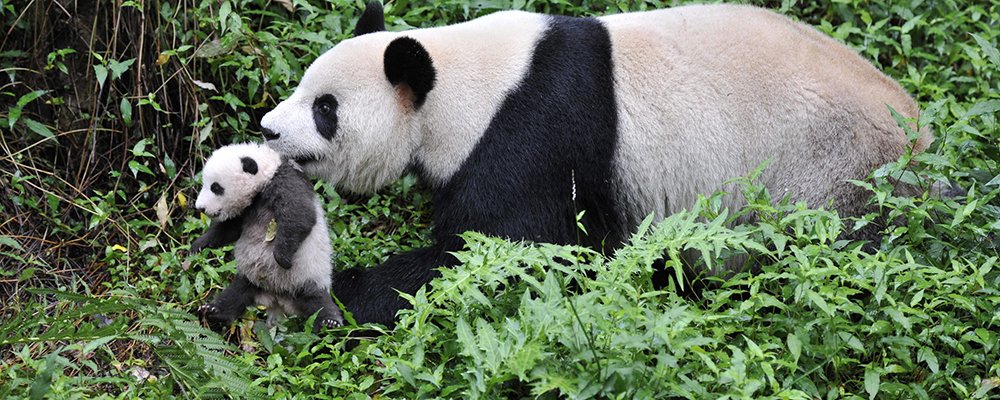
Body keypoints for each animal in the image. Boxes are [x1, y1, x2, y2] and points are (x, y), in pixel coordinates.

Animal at [191, 143, 344, 331]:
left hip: (307, 276)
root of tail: (277, 298)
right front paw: (197, 246)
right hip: (250, 279)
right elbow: (229, 230)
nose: (200, 207)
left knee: (317, 301)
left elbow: (300, 215)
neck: (266, 174)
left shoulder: (285, 182)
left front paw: (282, 259)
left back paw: (329, 322)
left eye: (216, 187)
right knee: (235, 294)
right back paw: (213, 311)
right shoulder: (247, 208)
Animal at [259, 3, 931, 327]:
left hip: (824, 176)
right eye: (302, 88)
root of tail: (919, 136)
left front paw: (327, 294)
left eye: (325, 109)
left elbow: (506, 250)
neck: (464, 84)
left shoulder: (537, 133)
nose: (267, 130)